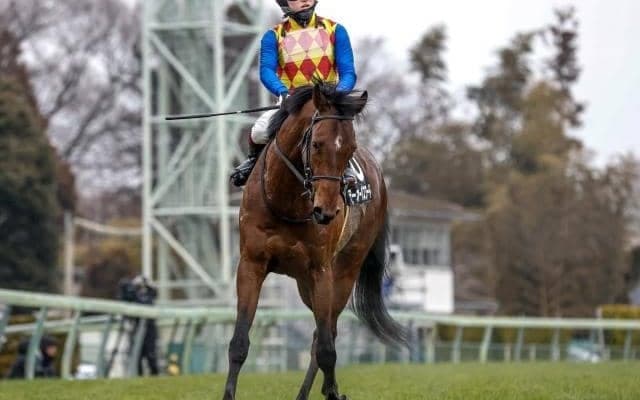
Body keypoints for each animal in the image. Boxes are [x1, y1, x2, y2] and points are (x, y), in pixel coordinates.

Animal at [223, 80, 406, 400]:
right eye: (318, 144)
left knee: (326, 334)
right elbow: (240, 342)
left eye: (349, 148)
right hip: (303, 284)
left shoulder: (321, 271)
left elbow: (326, 349)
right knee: (320, 334)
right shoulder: (251, 264)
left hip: (343, 272)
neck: (286, 200)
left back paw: (323, 390)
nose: (327, 211)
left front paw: (332, 391)